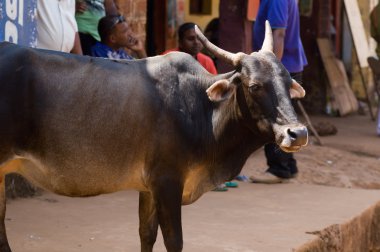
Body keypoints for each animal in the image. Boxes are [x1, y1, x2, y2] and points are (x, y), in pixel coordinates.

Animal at [0, 22, 308, 252]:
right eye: (254, 86)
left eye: (288, 81)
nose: (298, 133)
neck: (203, 110)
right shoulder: (167, 182)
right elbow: (174, 241)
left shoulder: (147, 188)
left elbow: (146, 234)